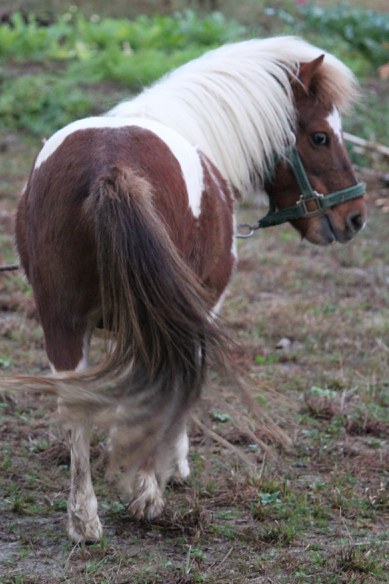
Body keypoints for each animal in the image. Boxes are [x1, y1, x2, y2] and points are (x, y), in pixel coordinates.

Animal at [4, 37, 366, 544]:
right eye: (320, 137)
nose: (355, 217)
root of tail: (110, 167)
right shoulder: (201, 309)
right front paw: (167, 469)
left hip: (61, 319)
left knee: (75, 405)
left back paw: (84, 520)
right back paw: (144, 496)